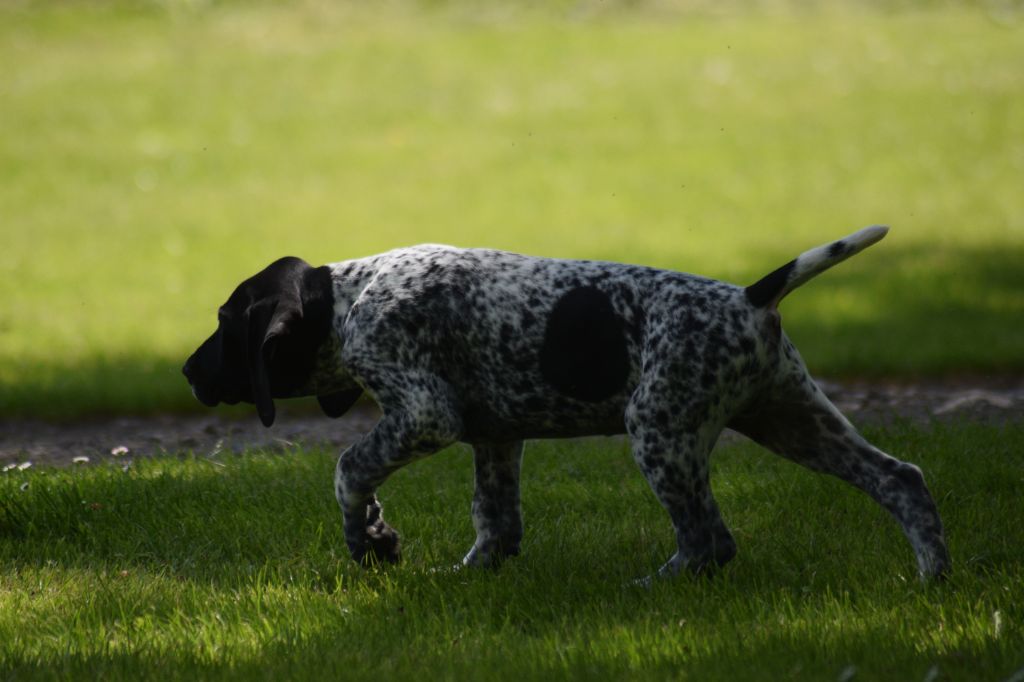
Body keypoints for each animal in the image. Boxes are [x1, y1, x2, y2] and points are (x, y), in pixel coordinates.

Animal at [182, 225, 950, 577]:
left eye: (223, 323)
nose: (187, 373)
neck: (349, 299)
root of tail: (749, 296)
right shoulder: (493, 438)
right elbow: (495, 522)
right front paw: (461, 574)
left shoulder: (425, 415)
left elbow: (348, 471)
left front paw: (367, 539)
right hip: (793, 420)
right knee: (902, 479)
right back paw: (932, 576)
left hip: (661, 431)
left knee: (710, 541)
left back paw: (652, 588)